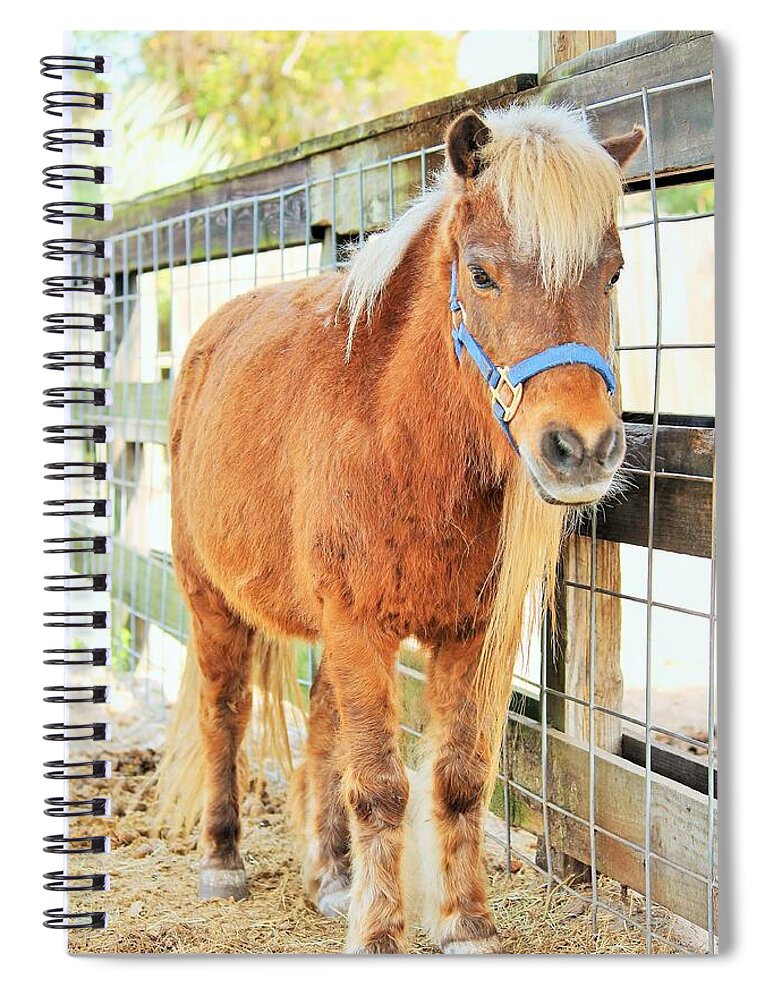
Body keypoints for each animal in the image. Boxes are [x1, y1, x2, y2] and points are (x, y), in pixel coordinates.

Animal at [158, 103, 644, 954]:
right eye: (480, 274)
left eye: (611, 273)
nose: (581, 447)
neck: (401, 441)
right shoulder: (359, 628)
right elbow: (382, 786)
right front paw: (380, 933)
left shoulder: (469, 635)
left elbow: (456, 779)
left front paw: (466, 924)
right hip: (211, 600)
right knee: (226, 713)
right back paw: (222, 861)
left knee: (322, 729)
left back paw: (331, 877)